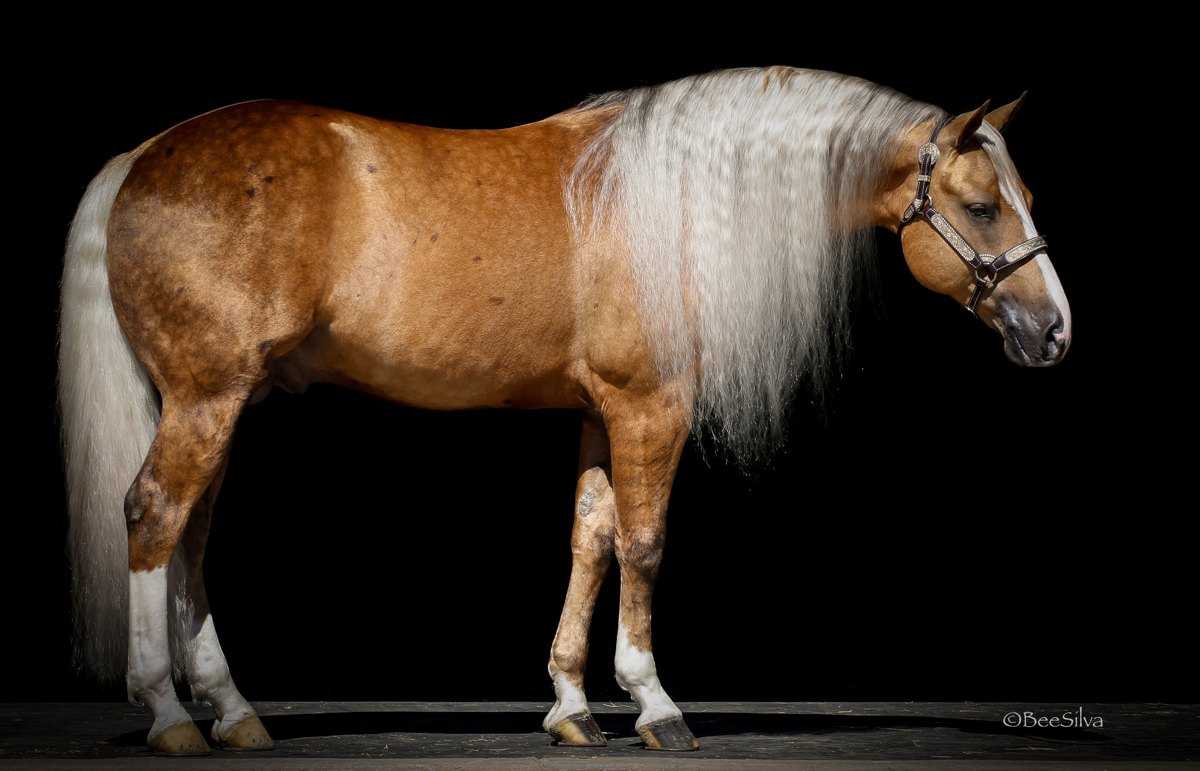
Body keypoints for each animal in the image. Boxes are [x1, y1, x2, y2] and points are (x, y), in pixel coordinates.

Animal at [58, 66, 1071, 755]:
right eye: (981, 207)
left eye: (1024, 197)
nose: (1056, 330)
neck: (667, 211)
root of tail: (141, 158)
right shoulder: (651, 407)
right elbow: (645, 543)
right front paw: (654, 701)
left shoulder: (598, 410)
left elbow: (590, 539)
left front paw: (573, 706)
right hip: (206, 397)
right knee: (154, 516)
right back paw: (167, 711)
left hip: (218, 405)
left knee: (191, 538)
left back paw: (231, 711)